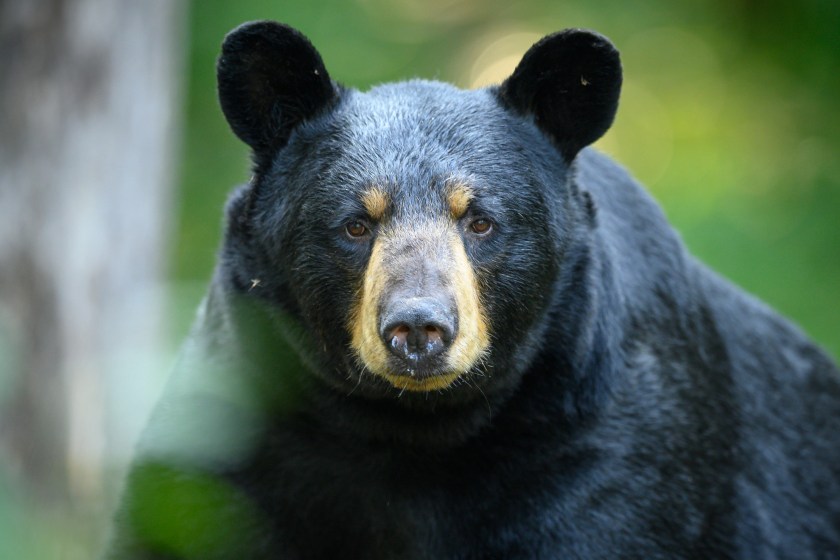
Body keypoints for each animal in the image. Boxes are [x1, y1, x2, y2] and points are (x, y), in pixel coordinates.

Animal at [106, 21, 840, 559]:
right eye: (355, 224)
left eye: (480, 220)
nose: (418, 329)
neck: (412, 432)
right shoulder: (236, 431)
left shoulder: (612, 453)